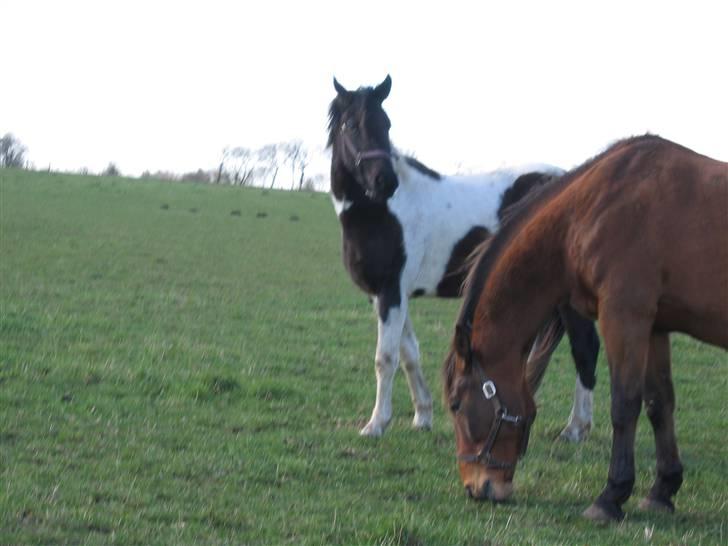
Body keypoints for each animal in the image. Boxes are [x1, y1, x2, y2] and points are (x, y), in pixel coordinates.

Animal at [328, 74, 596, 436]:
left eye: (385, 124)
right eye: (351, 125)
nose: (385, 181)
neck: (381, 212)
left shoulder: (390, 292)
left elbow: (385, 359)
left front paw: (376, 424)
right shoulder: (389, 295)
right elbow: (409, 354)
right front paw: (422, 417)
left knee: (586, 349)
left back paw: (575, 428)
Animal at [444, 135, 728, 520]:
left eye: (456, 404)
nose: (477, 488)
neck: (589, 211)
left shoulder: (623, 318)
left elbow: (624, 405)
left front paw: (611, 496)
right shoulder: (654, 326)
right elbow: (659, 403)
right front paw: (662, 490)